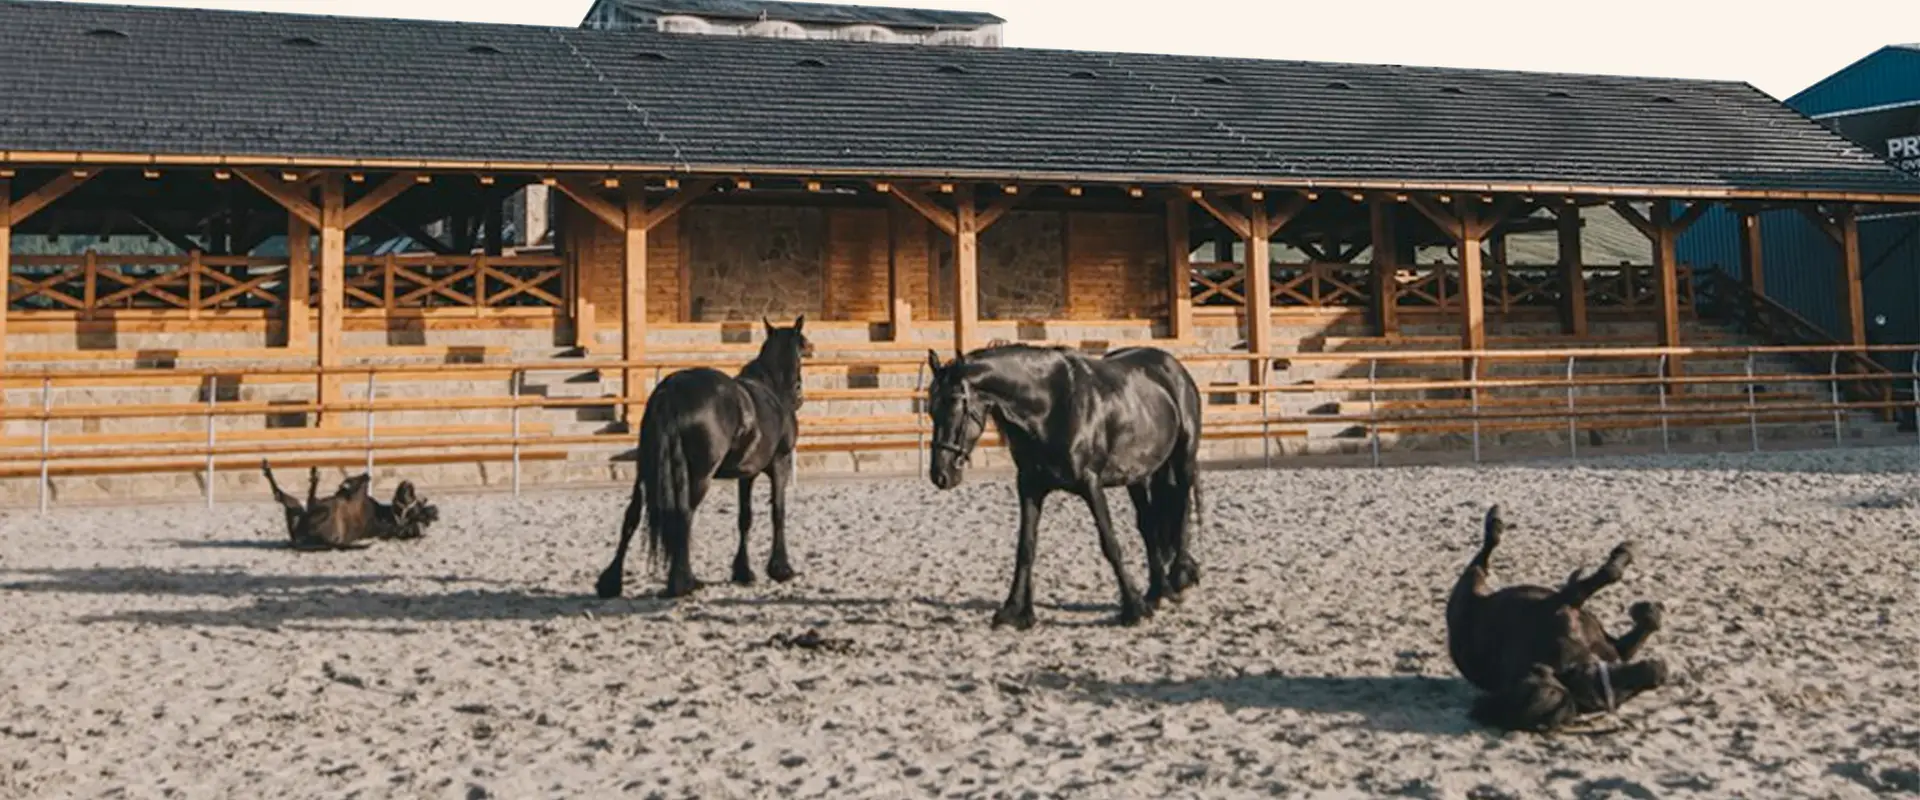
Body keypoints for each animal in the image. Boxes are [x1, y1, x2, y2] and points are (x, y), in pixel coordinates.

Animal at [261, 460, 439, 550]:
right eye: (418, 504)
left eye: (415, 509)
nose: (408, 484)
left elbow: (361, 479)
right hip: (297, 509)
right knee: (282, 495)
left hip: (323, 511)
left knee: (306, 498)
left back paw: (314, 480)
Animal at [595, 316, 813, 599]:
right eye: (802, 348)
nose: (798, 395)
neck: (772, 390)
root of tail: (671, 390)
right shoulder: (780, 463)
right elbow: (778, 512)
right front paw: (780, 569)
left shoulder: (747, 474)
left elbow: (745, 517)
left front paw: (743, 571)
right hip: (699, 476)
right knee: (684, 515)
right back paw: (682, 581)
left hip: (646, 471)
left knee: (631, 515)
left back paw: (611, 581)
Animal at [923, 343, 1204, 629]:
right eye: (931, 410)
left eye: (955, 407)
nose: (940, 475)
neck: (1050, 405)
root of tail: (1173, 366)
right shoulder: (1029, 487)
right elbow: (1026, 547)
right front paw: (1014, 611)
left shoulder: (1091, 484)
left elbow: (1110, 544)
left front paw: (1133, 609)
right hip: (1137, 475)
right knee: (1148, 525)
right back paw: (1157, 592)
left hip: (1183, 459)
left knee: (1183, 507)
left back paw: (1180, 579)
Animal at [1446, 505, 1670, 732]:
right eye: (1590, 681)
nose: (1658, 674)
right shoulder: (1565, 600)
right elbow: (1608, 574)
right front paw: (1625, 552)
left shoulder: (1611, 645)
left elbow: (1643, 628)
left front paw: (1647, 611)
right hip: (1471, 579)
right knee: (1485, 554)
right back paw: (1494, 520)